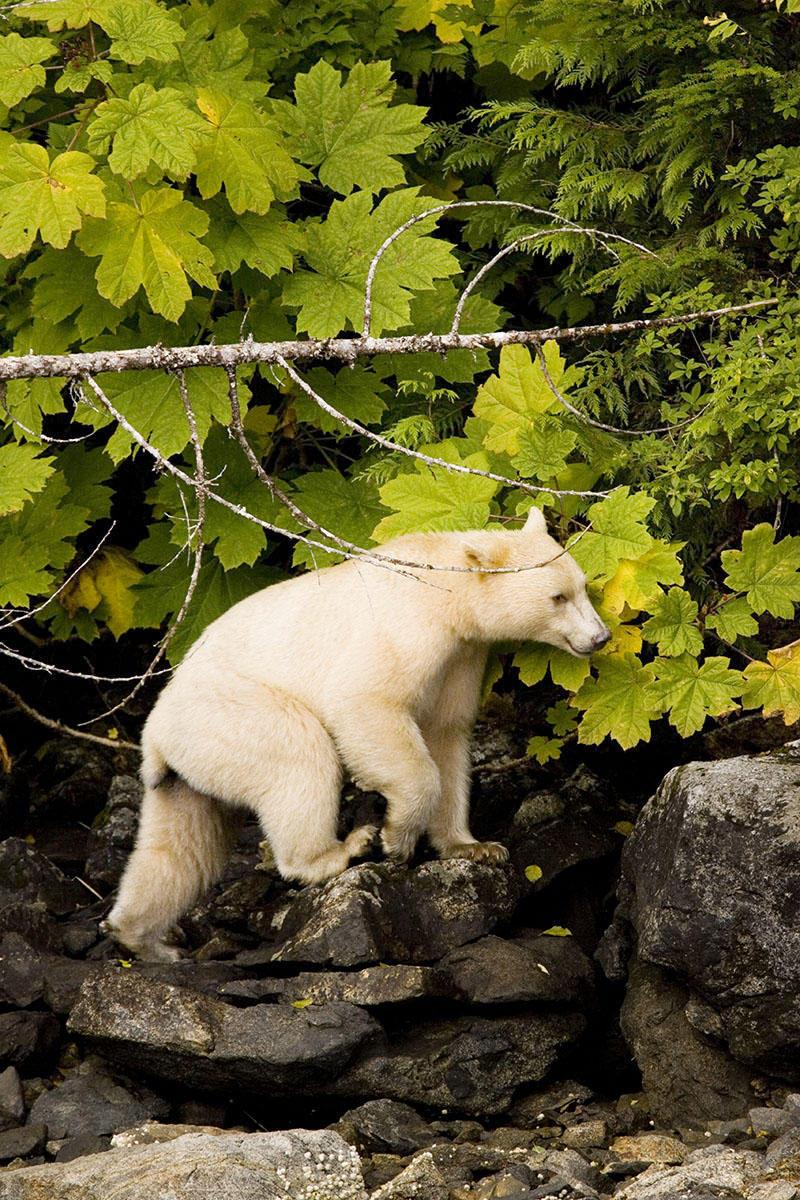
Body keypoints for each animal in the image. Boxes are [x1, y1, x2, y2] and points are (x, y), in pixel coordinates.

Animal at [104, 511, 606, 960]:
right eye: (558, 597)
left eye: (583, 586)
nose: (599, 637)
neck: (447, 595)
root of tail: (155, 733)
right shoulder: (406, 630)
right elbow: (365, 703)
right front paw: (395, 836)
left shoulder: (462, 658)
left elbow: (447, 735)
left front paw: (476, 846)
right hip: (230, 712)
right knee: (300, 753)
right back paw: (339, 852)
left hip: (192, 761)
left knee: (183, 848)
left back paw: (143, 937)